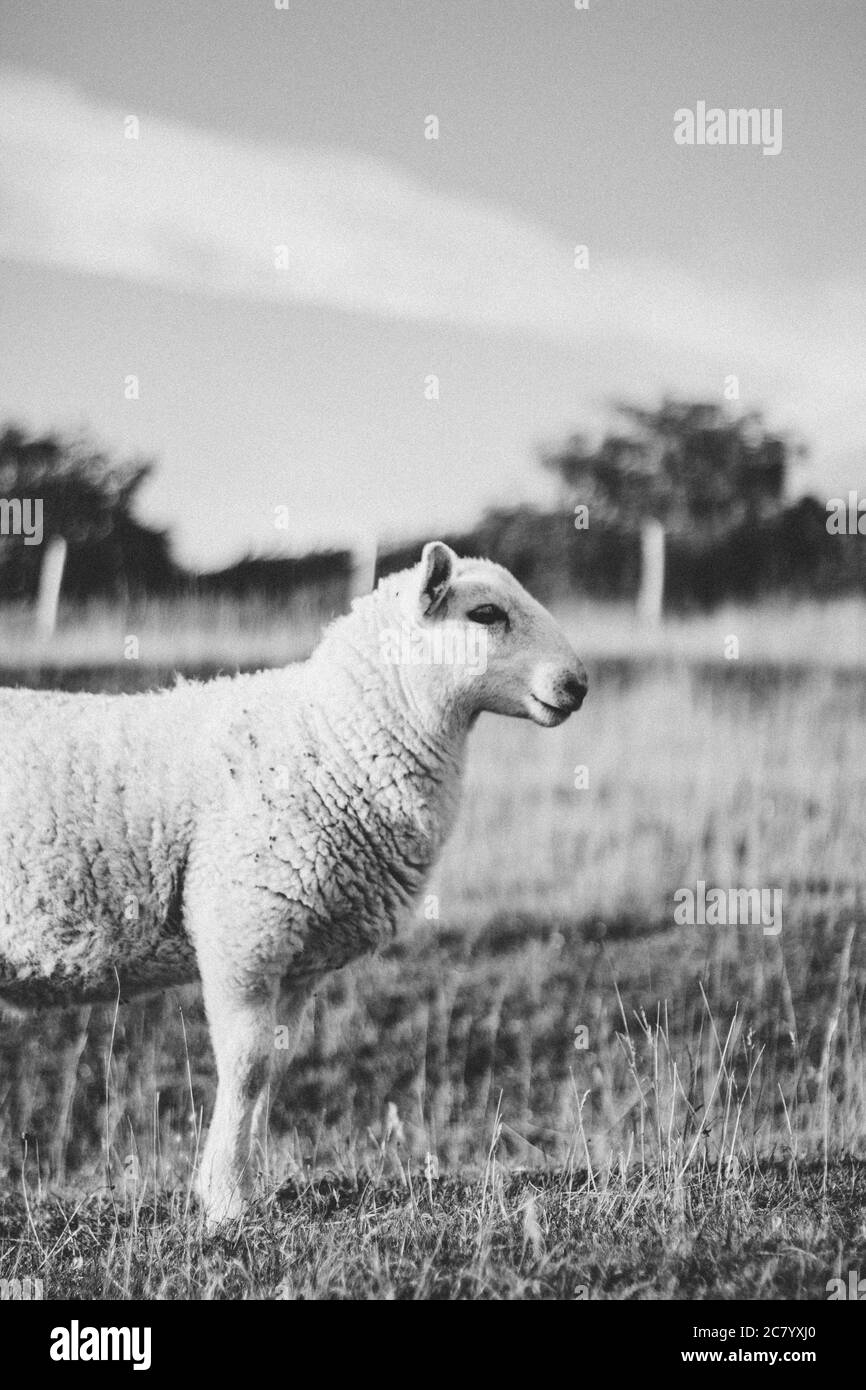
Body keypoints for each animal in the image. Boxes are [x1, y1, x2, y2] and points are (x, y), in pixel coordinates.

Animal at [0, 542, 588, 1223]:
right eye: (486, 613)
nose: (578, 685)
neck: (331, 738)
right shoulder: (245, 929)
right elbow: (248, 1066)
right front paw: (224, 1200)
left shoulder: (300, 954)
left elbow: (278, 1066)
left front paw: (251, 1183)